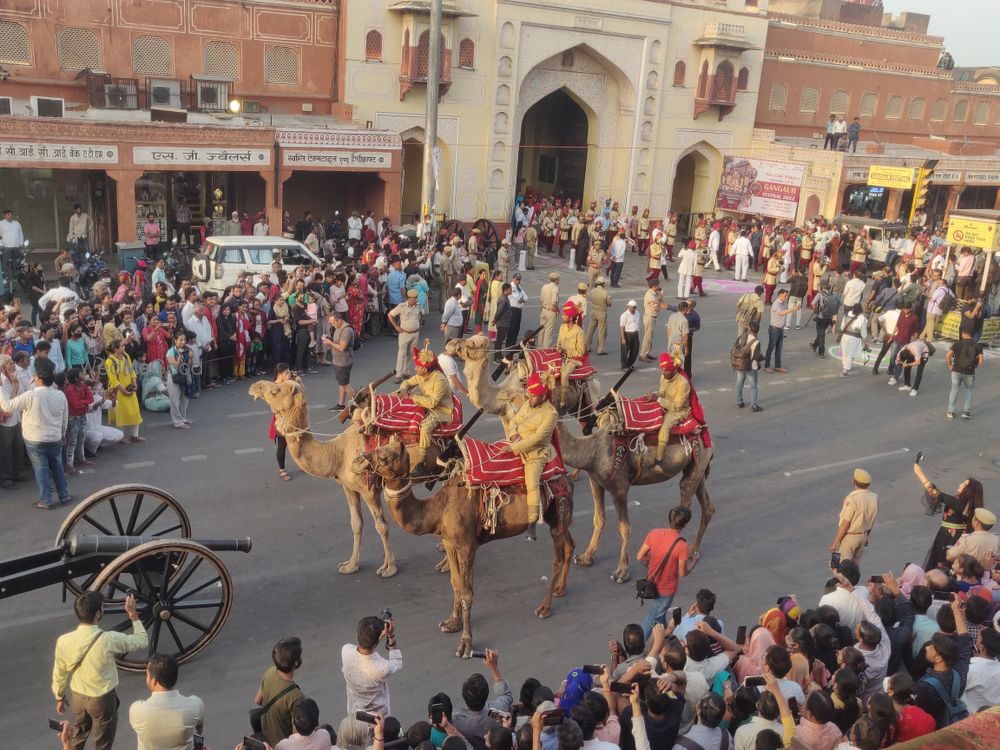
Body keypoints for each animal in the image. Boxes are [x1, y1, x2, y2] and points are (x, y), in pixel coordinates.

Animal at [249, 382, 398, 580]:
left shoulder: (370, 490)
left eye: (276, 390)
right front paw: (350, 565)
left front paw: (389, 568)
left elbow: (382, 526)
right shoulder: (349, 487)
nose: (254, 387)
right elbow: (356, 524)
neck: (339, 453)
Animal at [354, 440, 576, 656]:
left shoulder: (467, 546)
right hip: (559, 518)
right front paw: (452, 623)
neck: (437, 509)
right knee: (569, 545)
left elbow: (468, 593)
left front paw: (465, 644)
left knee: (556, 559)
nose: (360, 458)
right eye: (378, 447)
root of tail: (567, 479)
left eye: (385, 456)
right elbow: (455, 583)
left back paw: (544, 608)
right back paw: (561, 589)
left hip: (557, 511)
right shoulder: (449, 542)